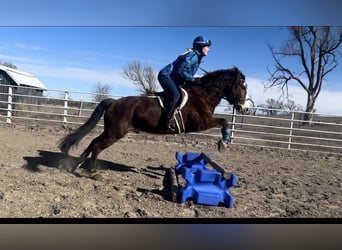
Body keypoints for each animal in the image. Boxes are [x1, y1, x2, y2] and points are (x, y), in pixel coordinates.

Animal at [58, 66, 248, 174]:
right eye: (242, 85)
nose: (245, 108)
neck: (204, 95)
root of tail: (114, 102)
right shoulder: (201, 123)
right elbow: (224, 121)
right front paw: (223, 143)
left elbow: (224, 121)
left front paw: (224, 142)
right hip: (115, 133)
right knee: (97, 146)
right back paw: (93, 173)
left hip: (111, 131)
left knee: (92, 143)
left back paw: (76, 165)